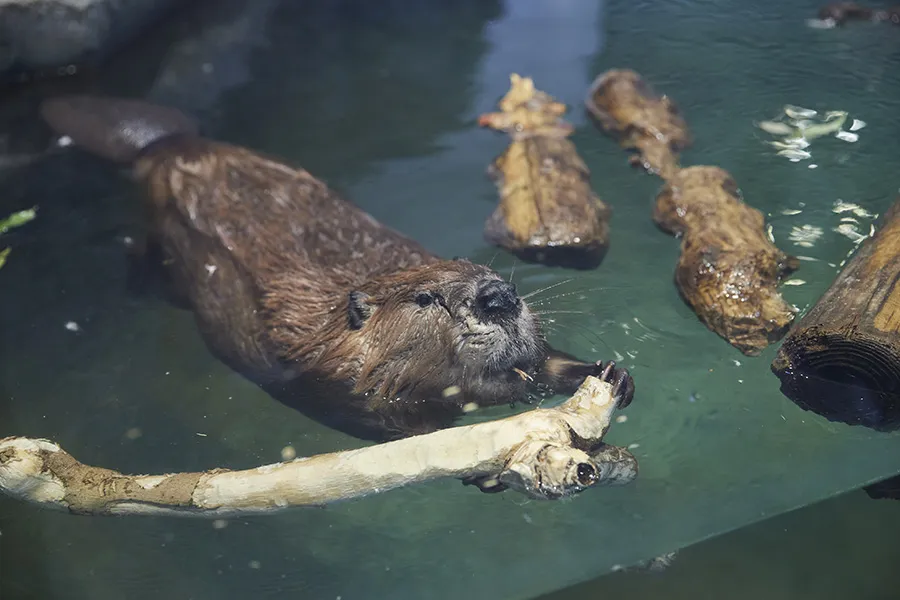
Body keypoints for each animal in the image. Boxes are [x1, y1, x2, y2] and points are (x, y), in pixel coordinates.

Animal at [40, 95, 632, 446]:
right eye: (425, 299)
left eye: (480, 269)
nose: (498, 299)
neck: (328, 327)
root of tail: (164, 143)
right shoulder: (328, 381)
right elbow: (389, 424)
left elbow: (546, 360)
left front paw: (608, 374)